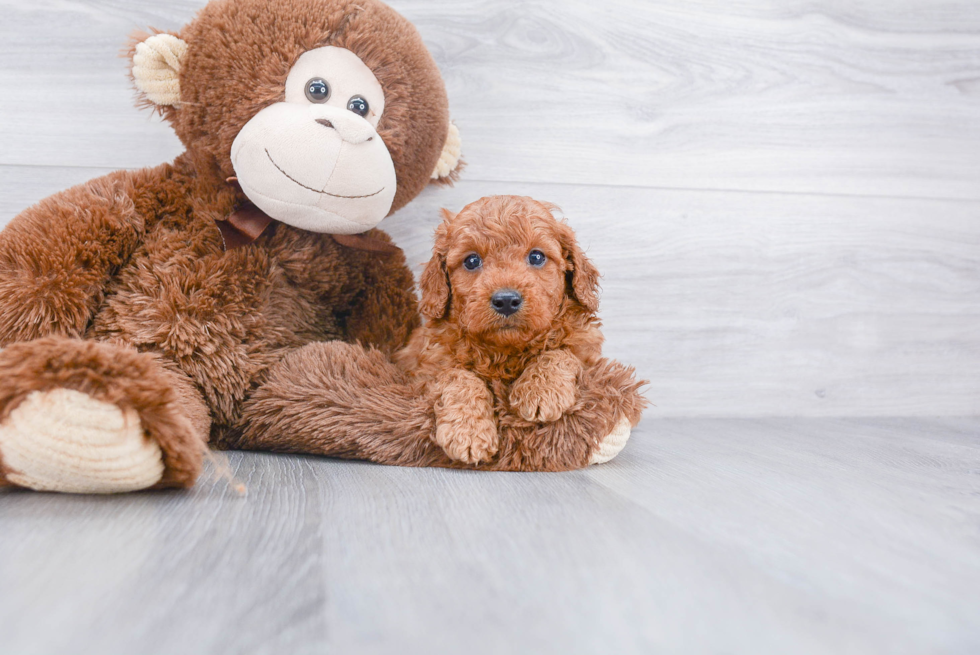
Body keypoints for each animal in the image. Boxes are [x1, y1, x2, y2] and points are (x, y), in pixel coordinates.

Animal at [394, 195, 600, 466]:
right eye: (472, 261)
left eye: (536, 257)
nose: (506, 300)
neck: (506, 350)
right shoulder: (427, 370)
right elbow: (459, 377)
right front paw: (468, 431)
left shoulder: (588, 352)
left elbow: (562, 352)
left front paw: (540, 390)